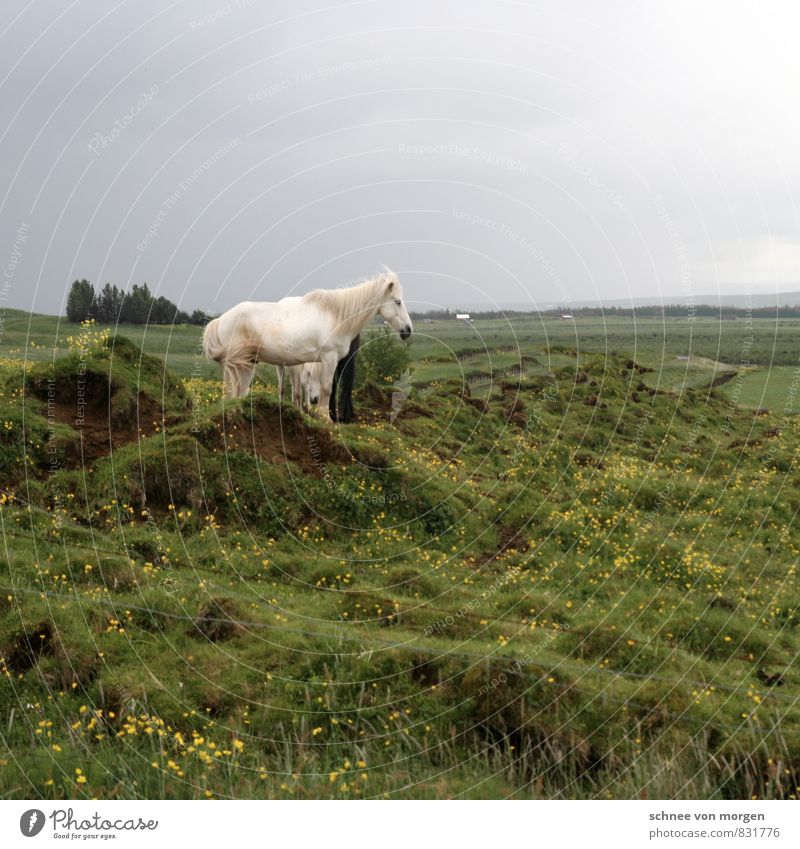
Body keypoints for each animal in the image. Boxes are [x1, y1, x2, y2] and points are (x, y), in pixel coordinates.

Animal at [205, 270, 412, 420]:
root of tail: (221, 319)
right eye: (397, 301)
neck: (336, 316)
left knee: (238, 391)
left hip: (247, 364)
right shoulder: (329, 358)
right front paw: (326, 418)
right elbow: (327, 388)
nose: (408, 330)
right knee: (232, 390)